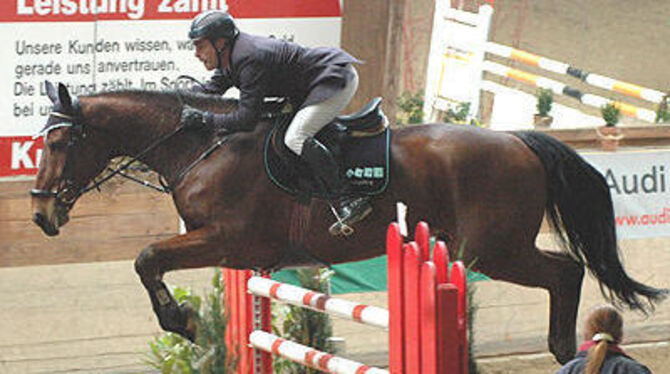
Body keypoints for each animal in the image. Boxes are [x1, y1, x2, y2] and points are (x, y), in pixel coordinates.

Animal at [30, 82, 668, 366]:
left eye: (60, 142)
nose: (40, 214)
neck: (200, 145)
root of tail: (517, 140)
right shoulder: (238, 255)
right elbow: (155, 264)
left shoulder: (224, 240)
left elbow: (147, 259)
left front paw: (182, 322)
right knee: (567, 272)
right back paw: (566, 351)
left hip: (494, 249)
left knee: (566, 272)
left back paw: (566, 349)